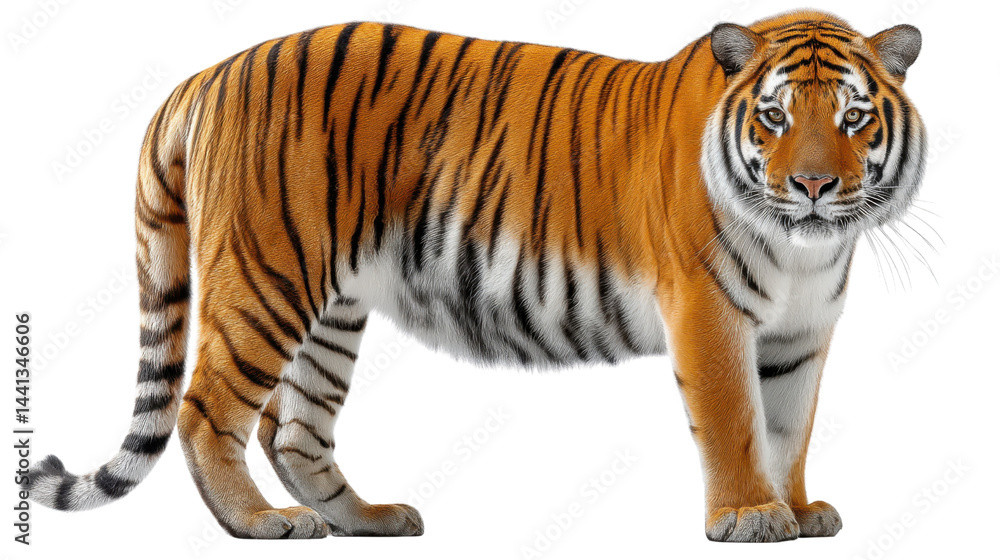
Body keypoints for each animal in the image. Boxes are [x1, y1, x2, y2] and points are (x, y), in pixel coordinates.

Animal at [24, 10, 925, 542]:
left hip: (331, 306)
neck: (803, 248)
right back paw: (259, 522)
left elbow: (789, 428)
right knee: (205, 408)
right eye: (774, 116)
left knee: (294, 429)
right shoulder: (709, 312)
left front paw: (799, 509)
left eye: (854, 117)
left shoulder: (801, 332)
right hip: (267, 275)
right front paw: (749, 515)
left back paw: (368, 518)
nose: (813, 187)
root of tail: (204, 75)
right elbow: (738, 421)